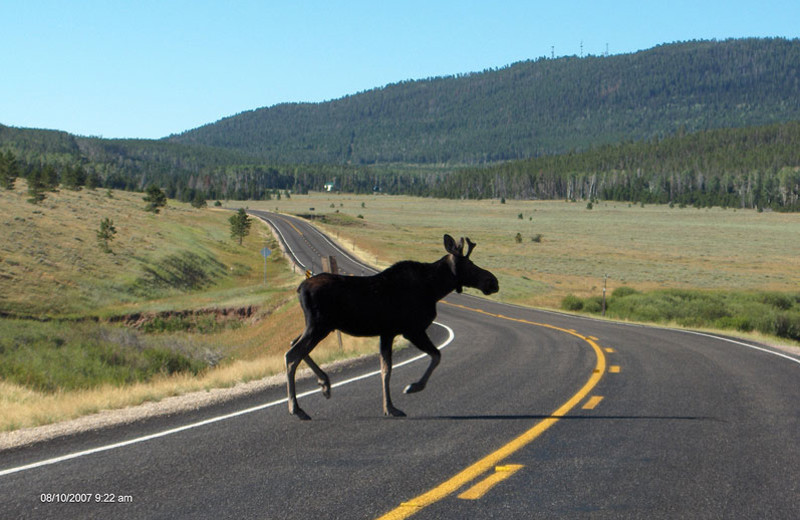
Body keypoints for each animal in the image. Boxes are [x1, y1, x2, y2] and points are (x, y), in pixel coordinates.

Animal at [284, 234, 496, 420]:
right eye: (469, 264)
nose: (493, 281)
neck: (435, 288)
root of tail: (300, 289)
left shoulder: (387, 333)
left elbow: (385, 370)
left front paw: (389, 407)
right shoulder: (412, 330)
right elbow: (436, 356)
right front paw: (412, 387)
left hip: (316, 326)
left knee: (294, 344)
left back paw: (324, 384)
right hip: (319, 325)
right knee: (292, 354)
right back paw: (297, 408)